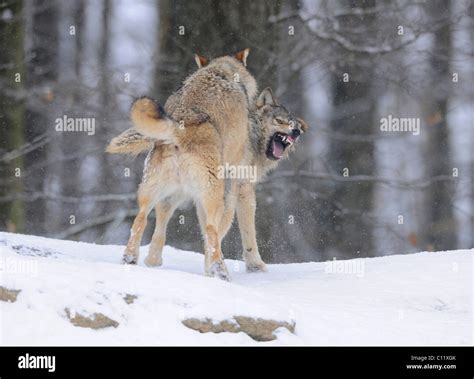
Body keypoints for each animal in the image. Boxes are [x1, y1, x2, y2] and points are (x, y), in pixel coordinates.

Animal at [106, 49, 310, 282]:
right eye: (281, 121)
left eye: (294, 124)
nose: (297, 131)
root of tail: (179, 131)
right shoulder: (242, 190)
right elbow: (242, 232)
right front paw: (254, 266)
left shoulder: (195, 198)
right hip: (213, 196)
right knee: (212, 229)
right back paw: (220, 271)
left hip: (162, 193)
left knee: (142, 220)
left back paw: (138, 260)